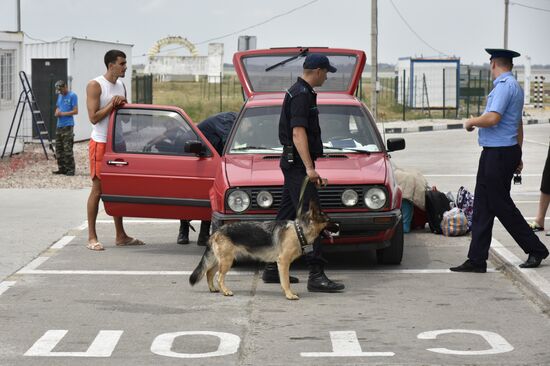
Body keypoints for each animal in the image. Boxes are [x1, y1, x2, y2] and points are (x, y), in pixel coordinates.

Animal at [190, 200, 330, 300]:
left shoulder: (282, 264)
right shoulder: (283, 263)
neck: (298, 230)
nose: (335, 223)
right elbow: (286, 281)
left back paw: (213, 289)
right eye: (329, 221)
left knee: (209, 273)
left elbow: (284, 281)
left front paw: (287, 292)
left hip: (219, 260)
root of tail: (217, 232)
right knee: (219, 277)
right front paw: (289, 295)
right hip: (226, 261)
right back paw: (225, 291)